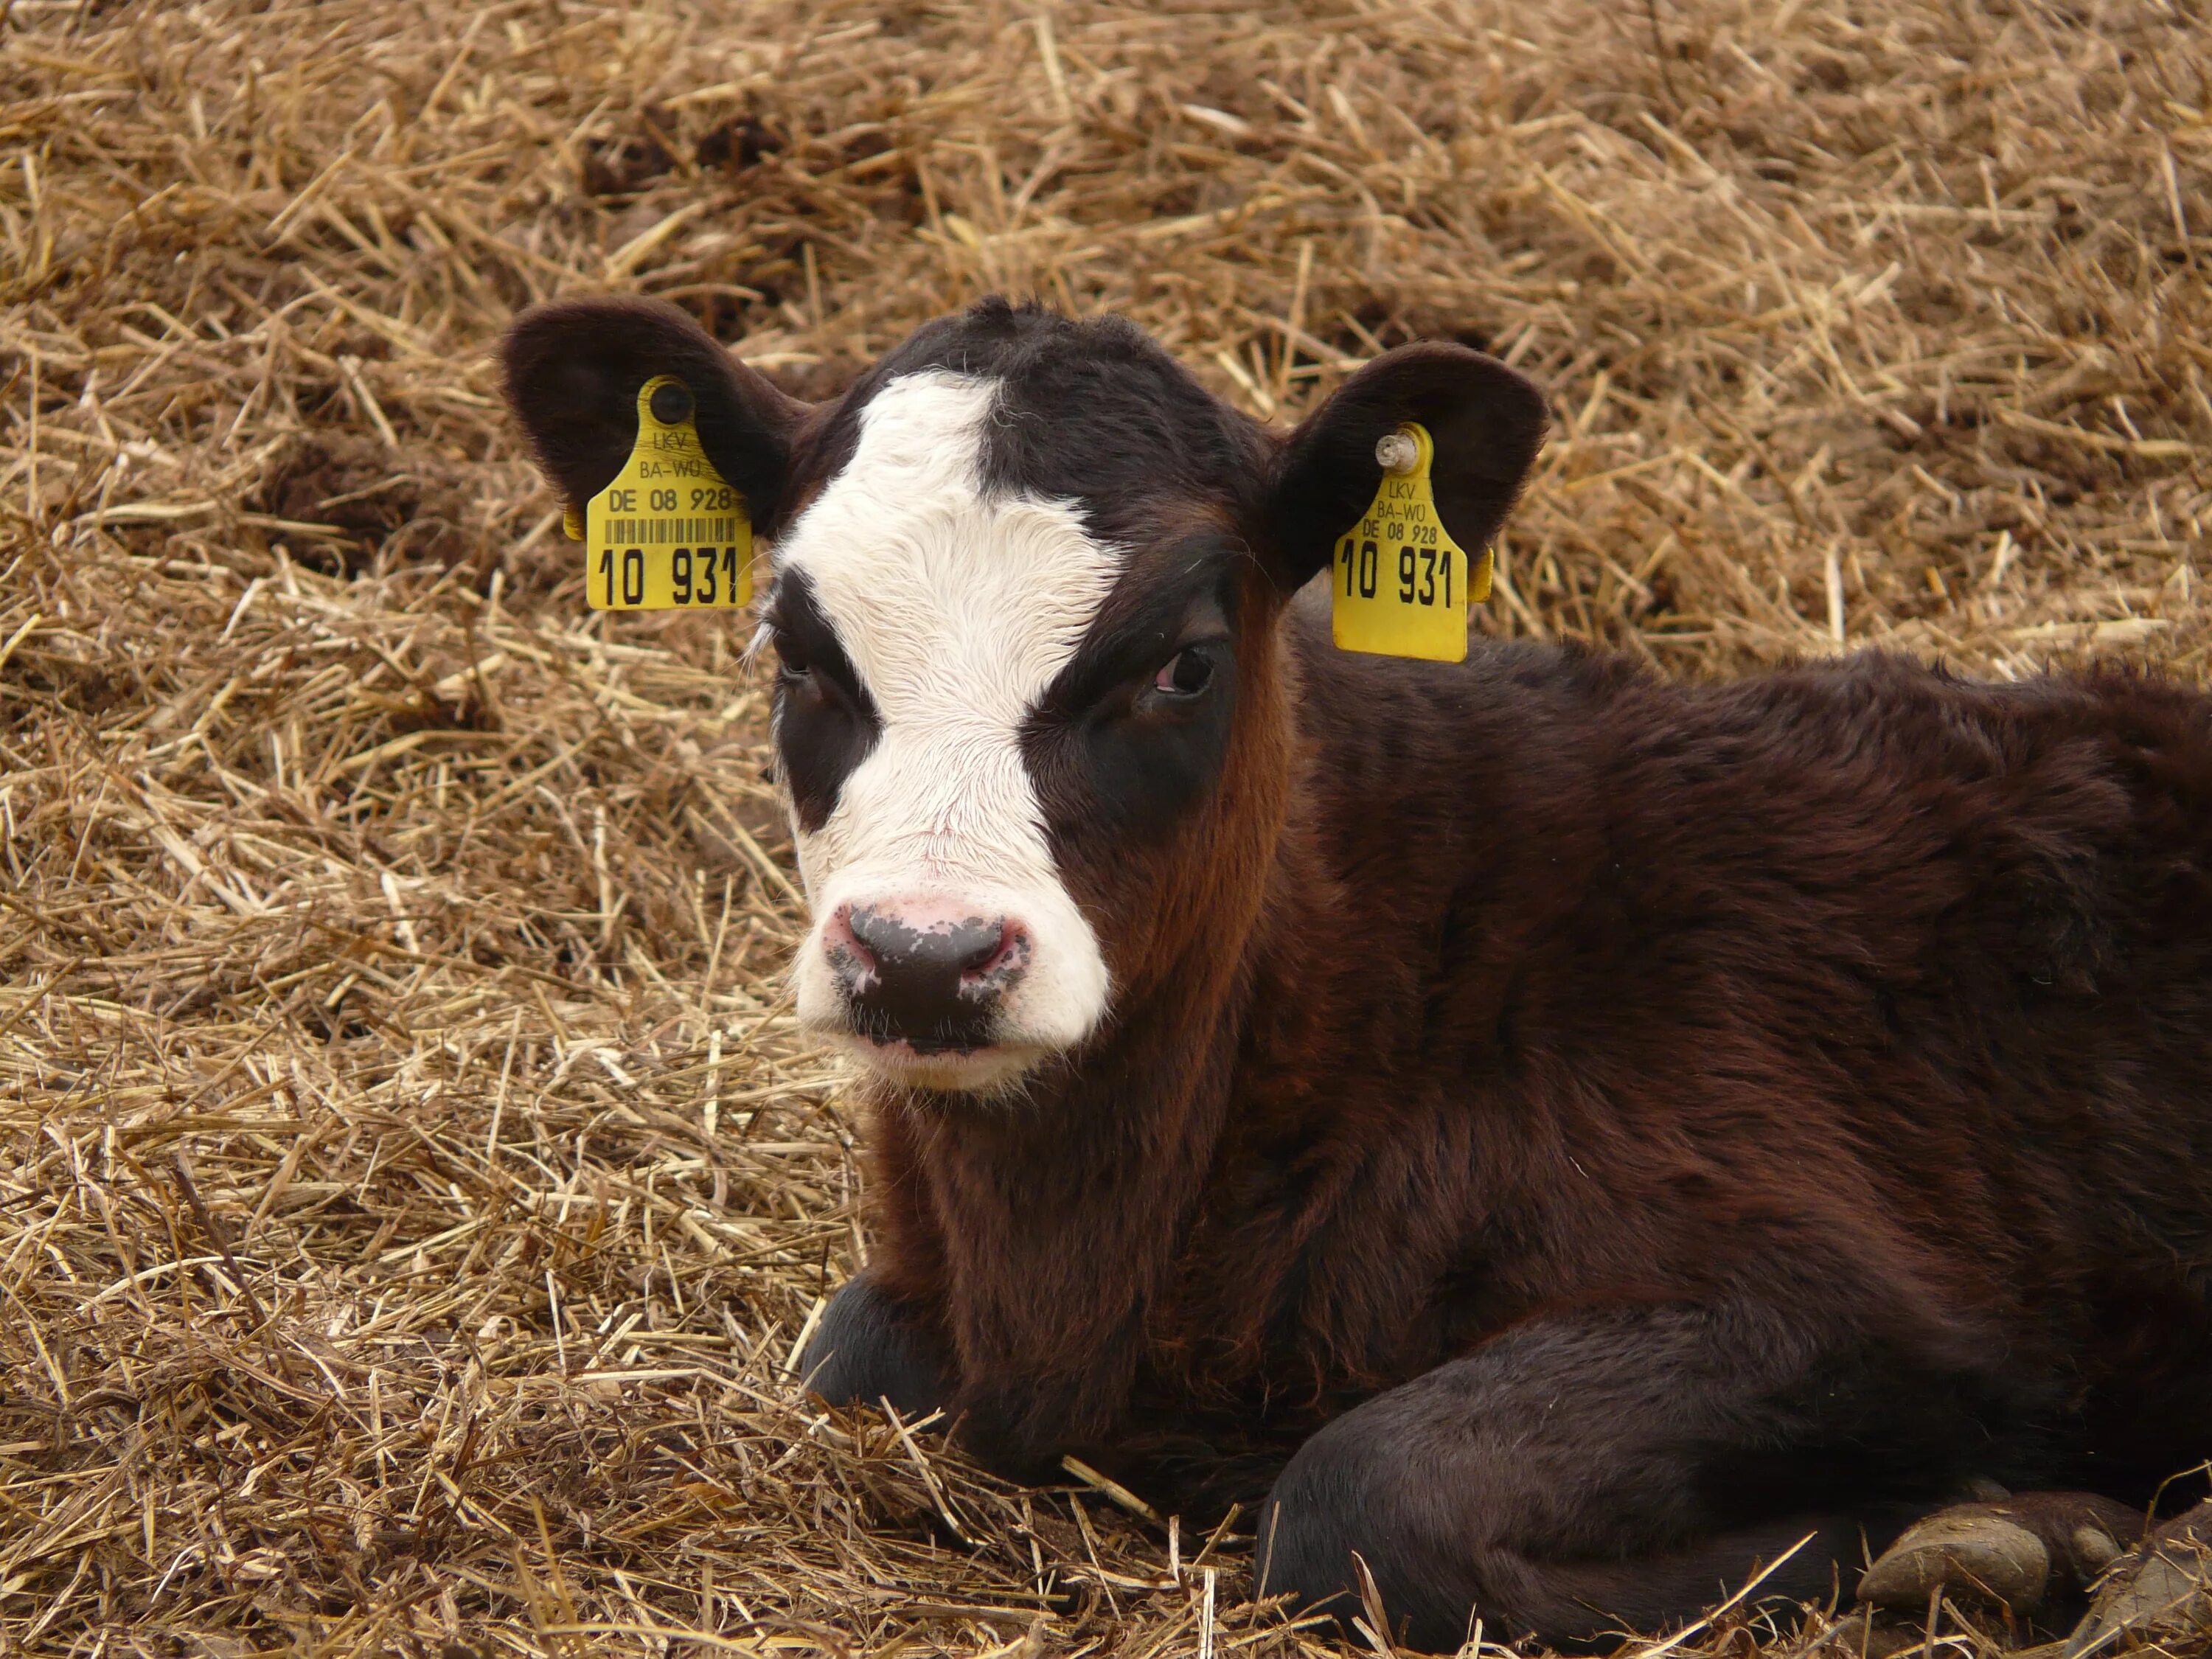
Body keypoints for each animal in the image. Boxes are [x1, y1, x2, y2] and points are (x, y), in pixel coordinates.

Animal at [502, 296, 2212, 1655]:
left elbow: (1366, 1501)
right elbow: (845, 1348)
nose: (926, 960)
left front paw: (2001, 1526)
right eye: (792, 650)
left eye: (1186, 659)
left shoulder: (1851, 1297)